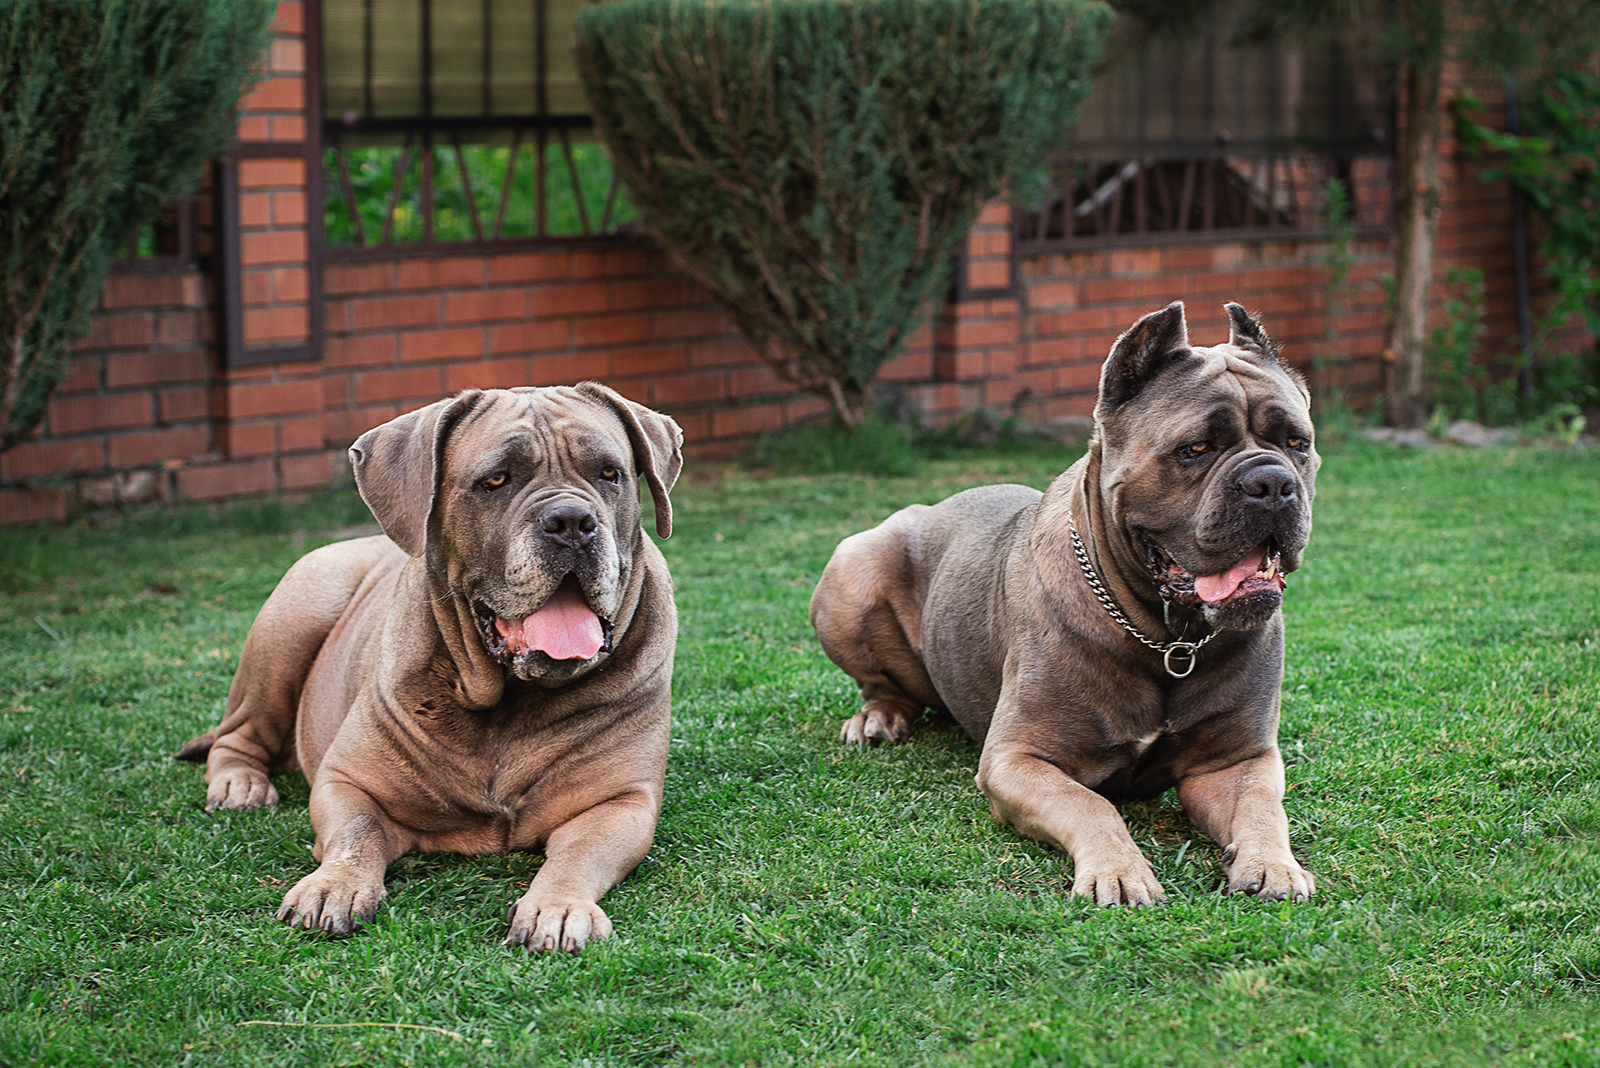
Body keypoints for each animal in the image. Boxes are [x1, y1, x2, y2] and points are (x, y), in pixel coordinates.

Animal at [812, 302, 1324, 908]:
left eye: (1297, 442)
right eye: (1195, 449)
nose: (1271, 483)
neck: (1166, 636)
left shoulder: (1237, 761)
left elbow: (1264, 810)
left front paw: (1275, 865)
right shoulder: (1017, 760)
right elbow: (1091, 804)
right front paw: (1120, 871)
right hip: (853, 566)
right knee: (882, 683)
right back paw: (878, 717)